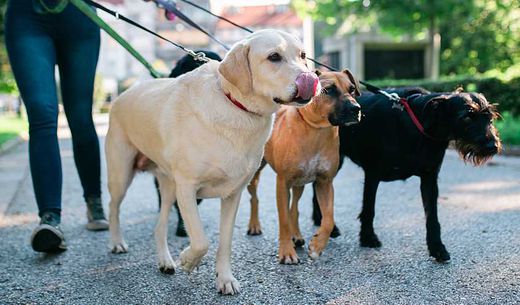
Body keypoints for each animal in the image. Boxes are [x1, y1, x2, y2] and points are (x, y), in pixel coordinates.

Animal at [245, 68, 360, 262]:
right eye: (329, 90)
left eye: (352, 89)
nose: (356, 109)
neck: (316, 130)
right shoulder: (282, 183)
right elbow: (283, 219)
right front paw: (286, 252)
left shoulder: (324, 182)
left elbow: (328, 219)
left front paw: (317, 245)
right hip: (255, 175)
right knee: (255, 198)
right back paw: (254, 225)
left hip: (299, 183)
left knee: (294, 208)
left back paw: (297, 236)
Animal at [310, 86, 502, 260]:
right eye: (467, 117)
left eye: (489, 118)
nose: (493, 146)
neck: (419, 126)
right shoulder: (372, 175)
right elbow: (369, 209)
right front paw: (368, 237)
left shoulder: (429, 179)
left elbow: (432, 218)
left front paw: (437, 248)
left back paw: (320, 221)